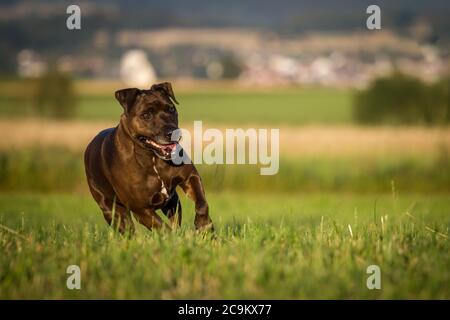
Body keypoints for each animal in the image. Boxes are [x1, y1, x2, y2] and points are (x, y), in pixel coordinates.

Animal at [85, 82, 214, 232]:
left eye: (171, 109)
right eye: (146, 115)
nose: (173, 132)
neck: (153, 158)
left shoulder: (190, 177)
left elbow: (201, 203)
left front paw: (204, 225)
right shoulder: (141, 209)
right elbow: (163, 228)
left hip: (172, 201)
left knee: (175, 219)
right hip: (111, 209)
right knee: (127, 227)